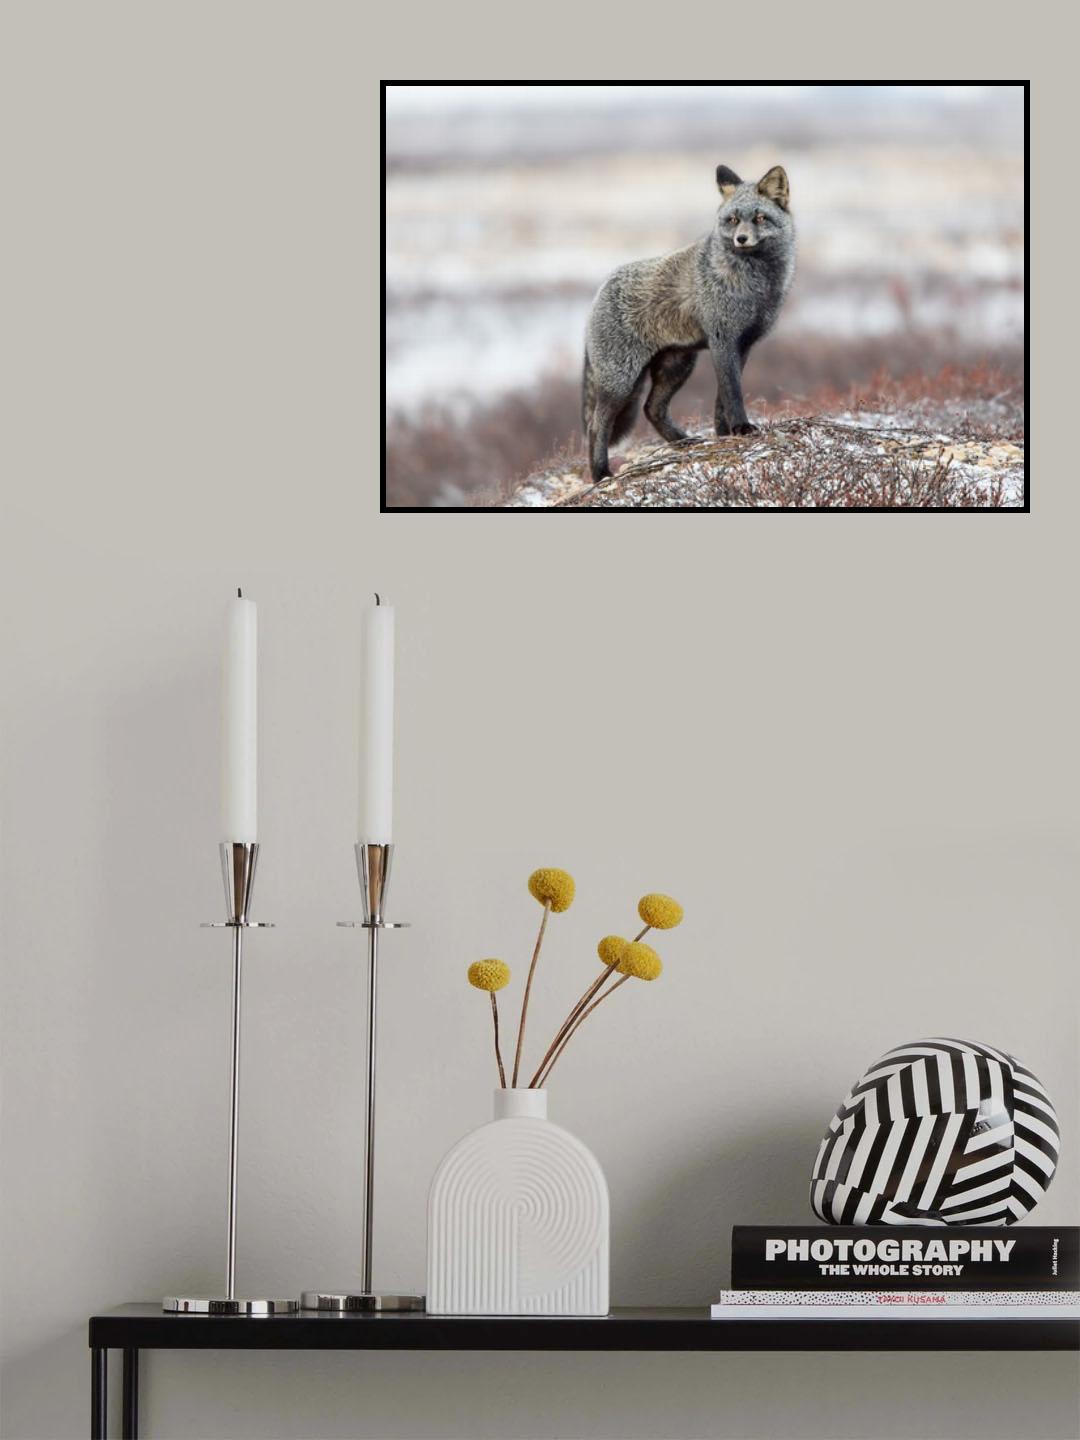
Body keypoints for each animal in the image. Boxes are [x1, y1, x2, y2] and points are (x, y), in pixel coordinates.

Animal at [582, 163, 795, 483]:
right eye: (733, 220)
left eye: (759, 218)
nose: (741, 239)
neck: (754, 286)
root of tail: (599, 291)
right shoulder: (723, 340)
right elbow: (733, 393)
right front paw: (741, 428)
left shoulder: (743, 344)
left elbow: (722, 400)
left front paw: (725, 434)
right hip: (622, 381)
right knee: (597, 426)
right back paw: (600, 474)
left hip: (677, 367)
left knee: (652, 409)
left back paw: (683, 442)